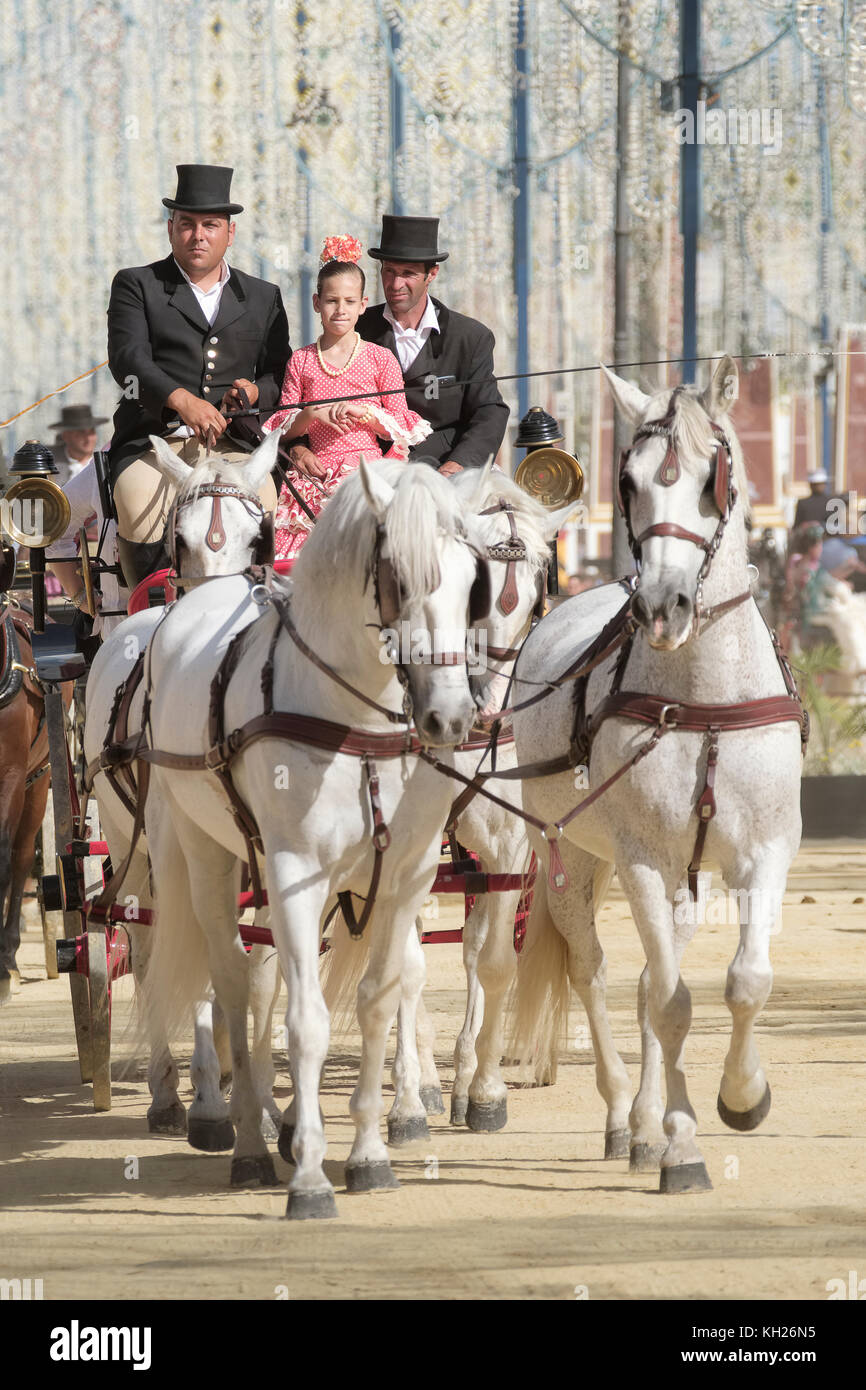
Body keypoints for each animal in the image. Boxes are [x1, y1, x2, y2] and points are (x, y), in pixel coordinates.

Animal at [83, 432, 282, 1135]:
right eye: (182, 539)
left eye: (259, 538)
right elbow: (198, 966)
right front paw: (214, 1100)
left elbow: (260, 972)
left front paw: (262, 1097)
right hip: (129, 842)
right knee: (146, 949)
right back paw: (171, 1092)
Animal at [119, 455, 488, 1219]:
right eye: (398, 577)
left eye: (475, 580)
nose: (449, 717)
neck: (355, 720)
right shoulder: (295, 870)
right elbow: (307, 1020)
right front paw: (311, 1174)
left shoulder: (405, 875)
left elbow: (379, 998)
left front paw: (370, 1152)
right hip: (197, 854)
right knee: (225, 976)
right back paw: (243, 1137)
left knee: (261, 977)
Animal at [511, 355, 806, 1193]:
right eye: (630, 480)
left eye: (716, 476)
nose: (664, 605)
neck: (703, 702)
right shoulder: (642, 859)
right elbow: (671, 1003)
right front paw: (682, 1146)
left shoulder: (766, 851)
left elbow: (744, 981)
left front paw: (742, 1096)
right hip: (572, 857)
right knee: (596, 970)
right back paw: (625, 1118)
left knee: (647, 979)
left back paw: (644, 1122)